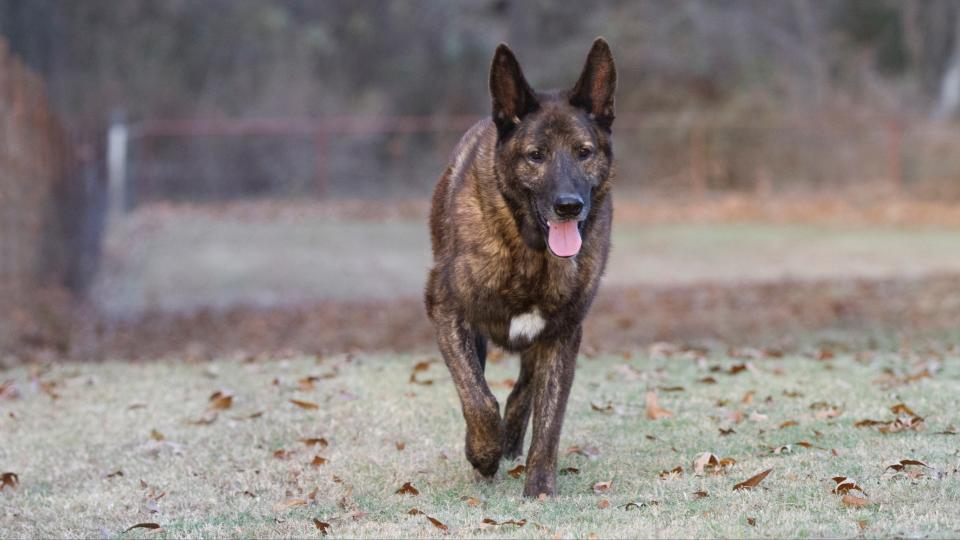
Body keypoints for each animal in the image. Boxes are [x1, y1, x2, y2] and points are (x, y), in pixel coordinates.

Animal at [426, 38, 620, 498]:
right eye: (536, 156)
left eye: (584, 153)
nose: (569, 206)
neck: (530, 250)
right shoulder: (447, 312)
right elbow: (478, 398)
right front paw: (483, 451)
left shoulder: (563, 334)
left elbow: (549, 420)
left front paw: (540, 488)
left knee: (522, 395)